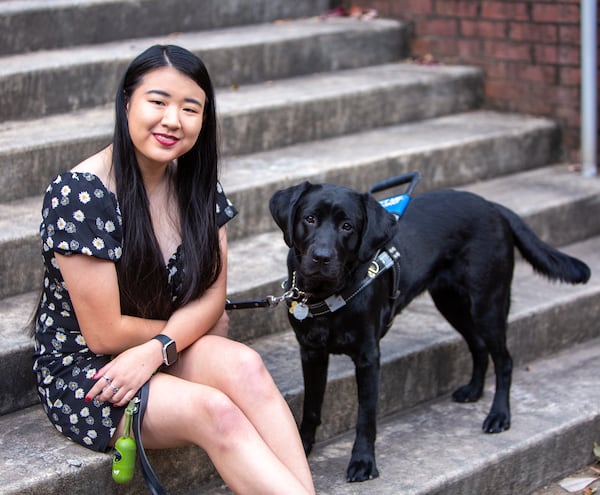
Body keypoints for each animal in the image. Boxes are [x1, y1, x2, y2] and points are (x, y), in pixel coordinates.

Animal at [270, 180, 588, 482]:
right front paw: (302, 446)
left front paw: (363, 462)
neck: (326, 292)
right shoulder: (311, 352)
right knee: (478, 346)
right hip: (451, 302)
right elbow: (311, 406)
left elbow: (366, 415)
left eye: (347, 226)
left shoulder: (368, 357)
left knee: (504, 359)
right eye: (310, 218)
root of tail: (492, 206)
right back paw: (473, 390)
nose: (321, 257)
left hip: (488, 303)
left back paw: (499, 415)